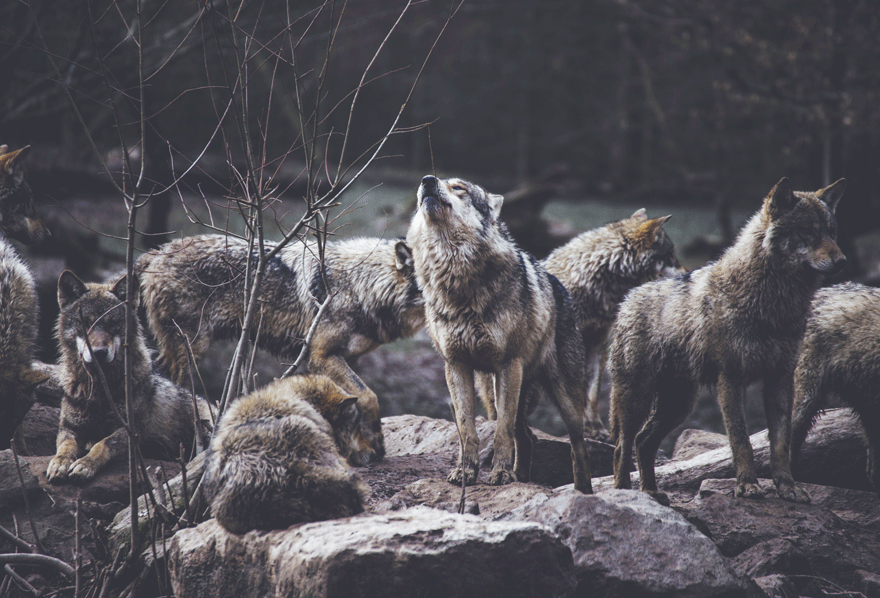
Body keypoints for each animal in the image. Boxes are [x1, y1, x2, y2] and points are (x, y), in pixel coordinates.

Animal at [46, 271, 215, 484]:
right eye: (85, 323)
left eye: (113, 324)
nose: (99, 352)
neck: (101, 391)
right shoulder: (69, 428)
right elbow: (66, 446)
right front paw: (59, 463)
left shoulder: (130, 431)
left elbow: (102, 444)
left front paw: (85, 464)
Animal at [137, 234, 424, 466]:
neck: (361, 285)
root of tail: (157, 251)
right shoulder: (321, 356)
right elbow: (369, 396)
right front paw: (376, 443)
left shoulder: (349, 358)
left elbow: (354, 400)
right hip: (191, 350)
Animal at [407, 175, 592, 493]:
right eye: (434, 181)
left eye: (459, 188)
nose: (427, 180)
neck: (455, 277)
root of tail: (558, 284)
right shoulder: (455, 365)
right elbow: (466, 428)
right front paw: (465, 472)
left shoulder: (508, 364)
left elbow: (501, 432)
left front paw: (502, 475)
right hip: (493, 391)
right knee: (527, 437)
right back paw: (523, 478)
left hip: (562, 397)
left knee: (577, 446)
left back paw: (583, 491)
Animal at [610, 177, 846, 505]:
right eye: (808, 232)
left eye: (831, 233)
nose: (842, 260)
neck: (773, 304)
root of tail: (628, 298)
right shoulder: (730, 379)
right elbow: (741, 439)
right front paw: (747, 486)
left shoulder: (781, 379)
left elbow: (781, 444)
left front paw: (787, 488)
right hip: (638, 398)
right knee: (623, 444)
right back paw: (625, 493)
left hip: (679, 405)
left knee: (644, 441)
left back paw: (651, 493)